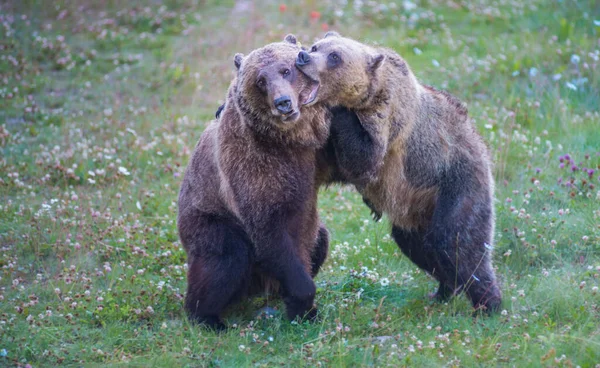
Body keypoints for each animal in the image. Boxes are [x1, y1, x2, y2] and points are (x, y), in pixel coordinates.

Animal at [178, 34, 328, 330]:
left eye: (286, 70)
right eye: (260, 80)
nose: (283, 102)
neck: (285, 141)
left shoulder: (312, 156)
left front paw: (304, 310)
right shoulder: (250, 168)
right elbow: (269, 230)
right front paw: (304, 301)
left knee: (321, 238)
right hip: (208, 218)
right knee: (226, 256)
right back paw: (207, 317)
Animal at [296, 32, 502, 314]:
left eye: (335, 57)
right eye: (316, 46)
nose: (303, 56)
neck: (366, 97)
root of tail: (481, 143)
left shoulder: (388, 118)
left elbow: (364, 158)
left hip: (456, 179)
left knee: (457, 240)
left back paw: (488, 304)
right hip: (417, 206)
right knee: (416, 244)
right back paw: (444, 290)